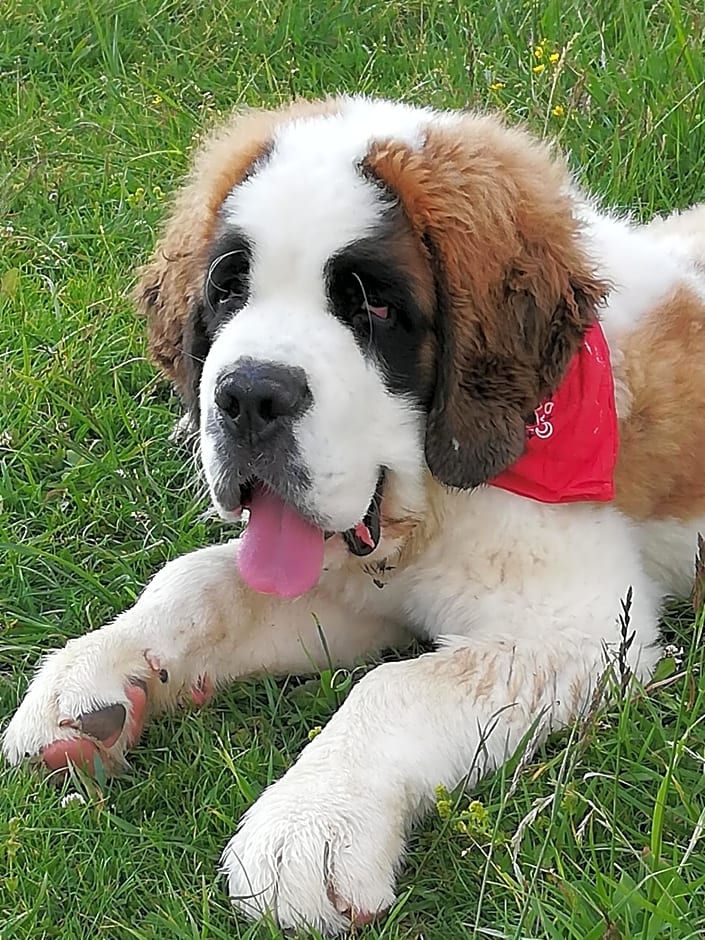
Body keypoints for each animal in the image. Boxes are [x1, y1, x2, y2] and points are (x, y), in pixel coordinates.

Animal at [5, 95, 704, 932]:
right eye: (229, 289)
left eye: (373, 302)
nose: (247, 395)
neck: (431, 504)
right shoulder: (354, 592)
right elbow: (201, 582)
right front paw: (95, 676)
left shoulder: (577, 630)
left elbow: (397, 687)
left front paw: (308, 829)